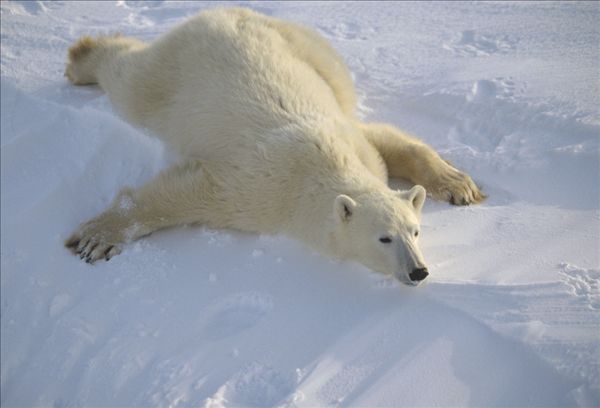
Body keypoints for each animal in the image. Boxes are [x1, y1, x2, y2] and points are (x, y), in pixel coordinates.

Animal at [64, 7, 482, 286]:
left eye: (416, 231)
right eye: (384, 237)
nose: (419, 271)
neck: (323, 166)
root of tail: (221, 12)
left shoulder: (353, 138)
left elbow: (387, 139)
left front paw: (462, 187)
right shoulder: (259, 189)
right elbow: (190, 192)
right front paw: (96, 239)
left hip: (309, 50)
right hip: (175, 74)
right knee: (132, 83)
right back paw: (83, 58)